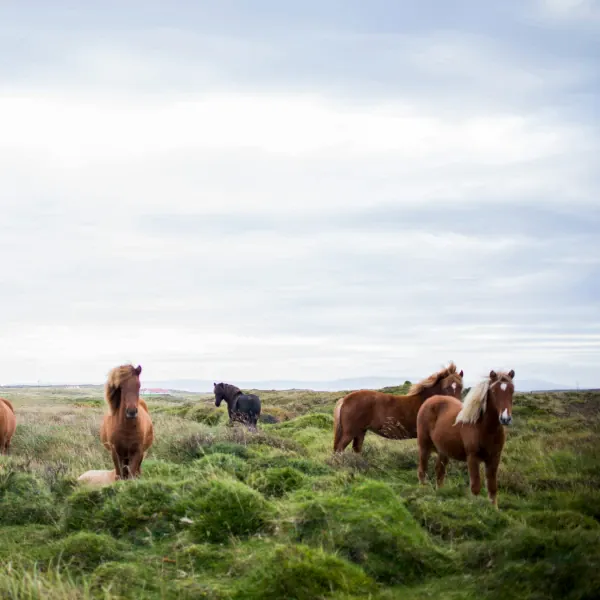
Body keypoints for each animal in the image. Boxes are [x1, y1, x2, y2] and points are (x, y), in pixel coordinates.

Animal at [332, 360, 464, 454]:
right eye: (446, 387)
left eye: (461, 387)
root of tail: (345, 399)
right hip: (350, 432)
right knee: (339, 449)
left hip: (360, 431)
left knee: (356, 449)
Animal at [418, 370, 516, 506]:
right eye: (494, 391)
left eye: (512, 390)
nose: (505, 419)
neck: (484, 428)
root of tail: (430, 400)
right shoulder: (472, 458)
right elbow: (475, 487)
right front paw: (474, 508)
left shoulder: (494, 458)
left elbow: (492, 488)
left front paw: (494, 509)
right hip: (424, 446)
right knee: (423, 469)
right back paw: (423, 490)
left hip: (443, 450)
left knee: (439, 471)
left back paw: (440, 493)